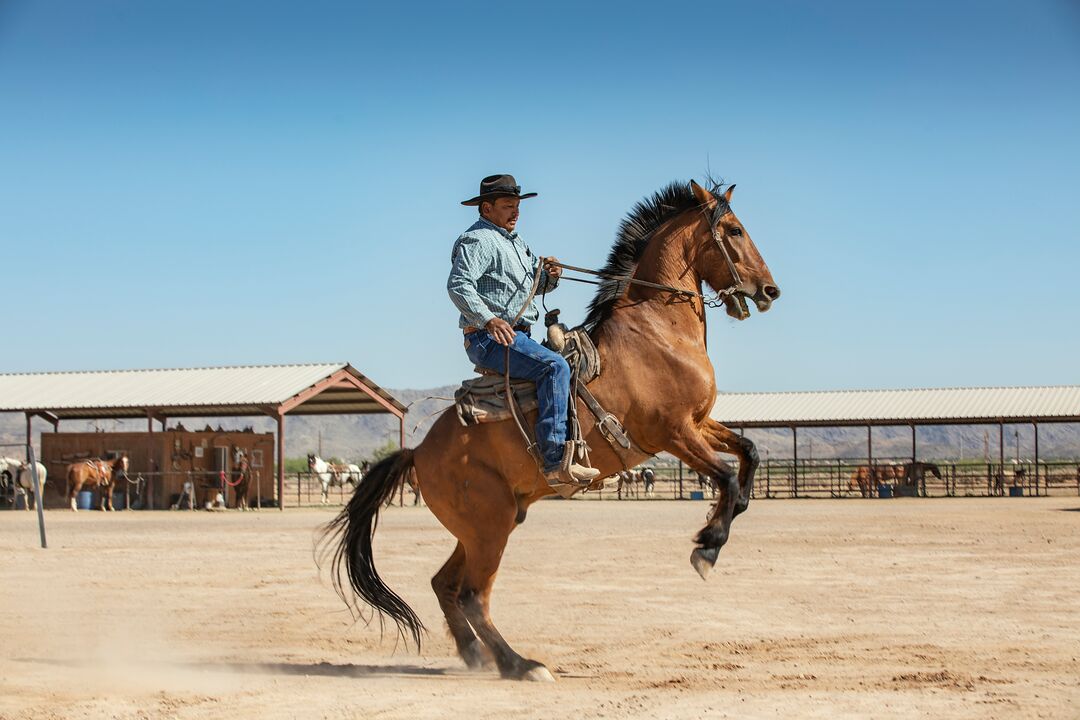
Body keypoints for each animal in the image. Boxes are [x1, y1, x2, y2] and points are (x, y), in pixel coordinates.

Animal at [315, 180, 781, 682]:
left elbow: (749, 455)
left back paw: (477, 655)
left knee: (445, 584)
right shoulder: (673, 432)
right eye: (734, 230)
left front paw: (715, 532)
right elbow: (728, 477)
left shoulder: (699, 423)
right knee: (472, 595)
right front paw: (706, 549)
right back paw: (520, 664)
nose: (770, 290)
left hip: (482, 527)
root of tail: (418, 452)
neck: (656, 331)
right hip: (491, 527)